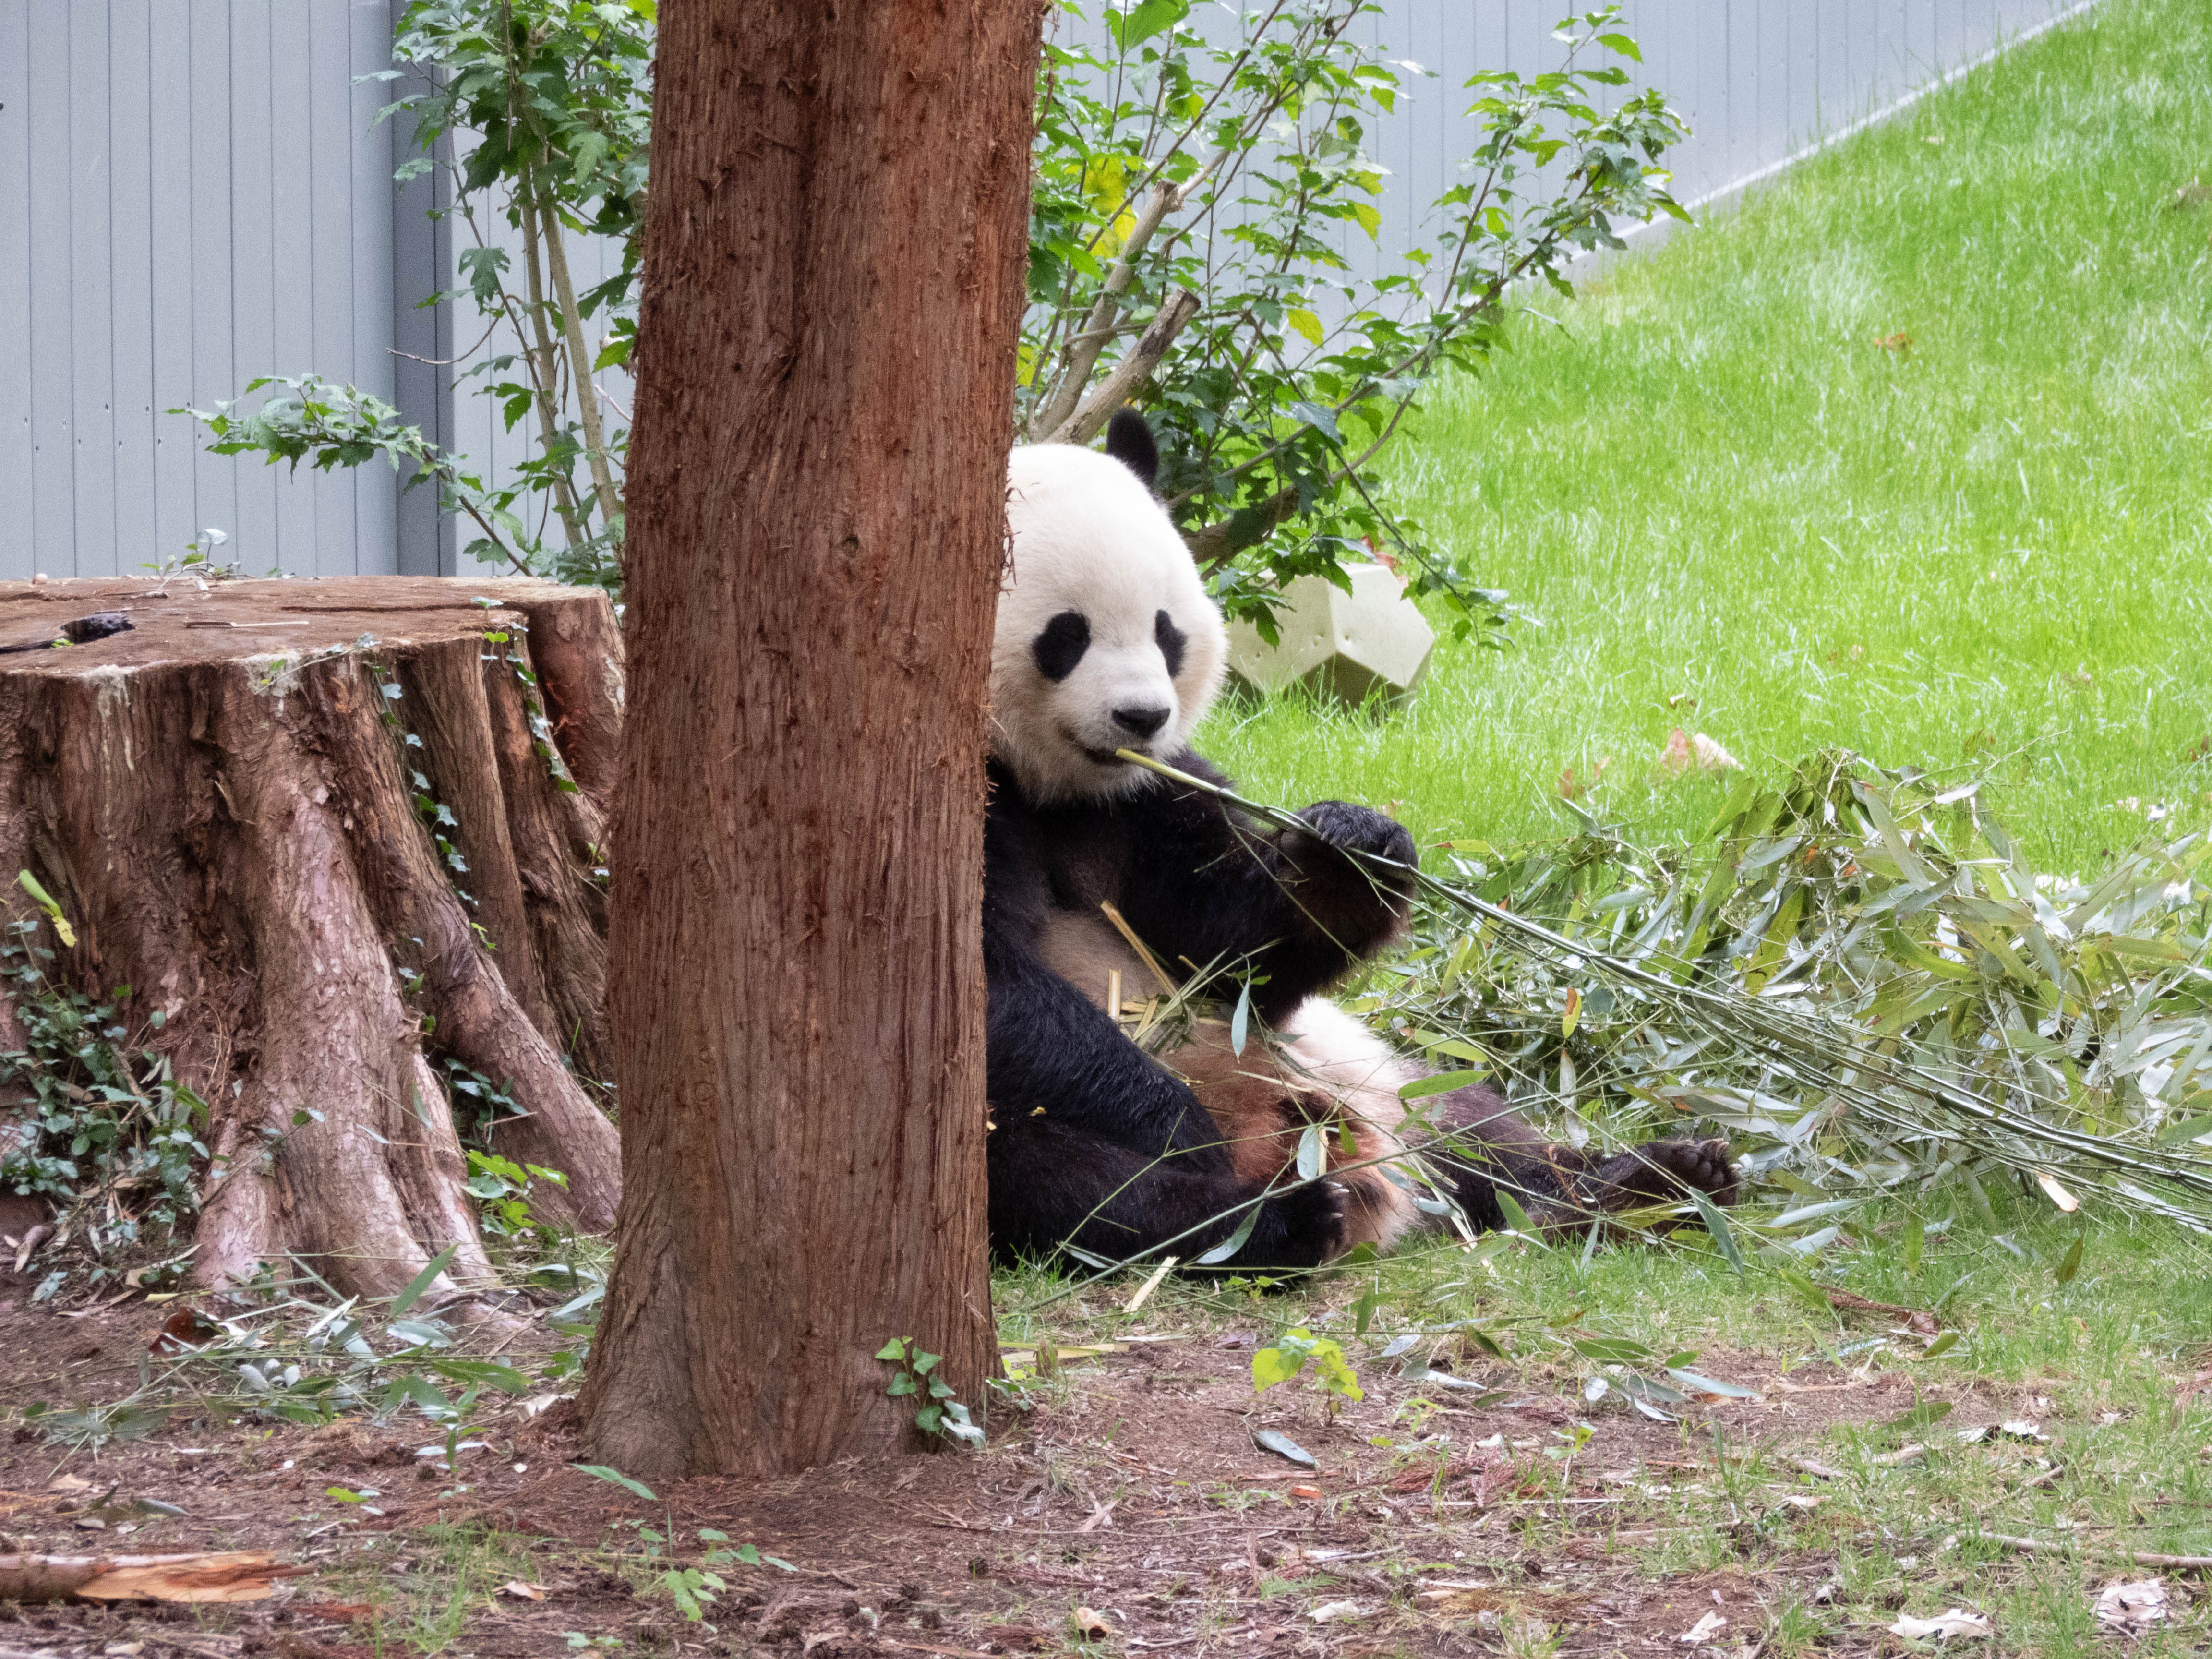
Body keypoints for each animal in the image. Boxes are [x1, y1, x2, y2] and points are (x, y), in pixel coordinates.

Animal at [983, 411, 1737, 1272]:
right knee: (1067, 1182)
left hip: (1368, 1068)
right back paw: (1270, 1221)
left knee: (1475, 1125)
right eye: (1066, 636)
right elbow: (997, 990)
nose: (1142, 717)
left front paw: (1348, 851)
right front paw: (1177, 1126)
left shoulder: (1149, 797)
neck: (1059, 789)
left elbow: (1229, 952)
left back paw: (1644, 1184)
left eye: (1165, 632)